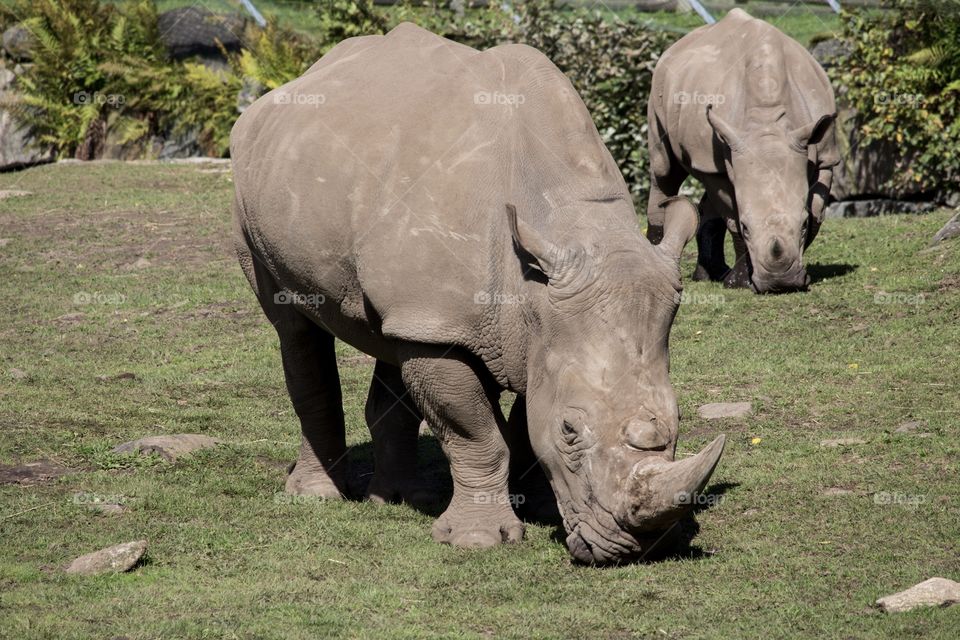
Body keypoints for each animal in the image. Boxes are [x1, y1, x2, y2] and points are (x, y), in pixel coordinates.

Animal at [230, 23, 725, 564]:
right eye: (571, 430)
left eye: (678, 421)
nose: (636, 548)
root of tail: (290, 87)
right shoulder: (473, 321)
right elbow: (478, 434)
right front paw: (479, 539)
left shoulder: (530, 322)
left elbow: (525, 420)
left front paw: (540, 508)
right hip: (249, 198)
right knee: (295, 328)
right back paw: (318, 497)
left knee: (394, 335)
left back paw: (403, 497)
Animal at [646, 9, 839, 293]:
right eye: (748, 228)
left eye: (802, 225)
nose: (780, 283)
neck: (767, 124)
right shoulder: (718, 154)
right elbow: (733, 217)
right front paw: (739, 283)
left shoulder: (825, 156)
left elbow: (817, 211)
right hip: (659, 86)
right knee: (664, 171)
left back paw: (710, 275)